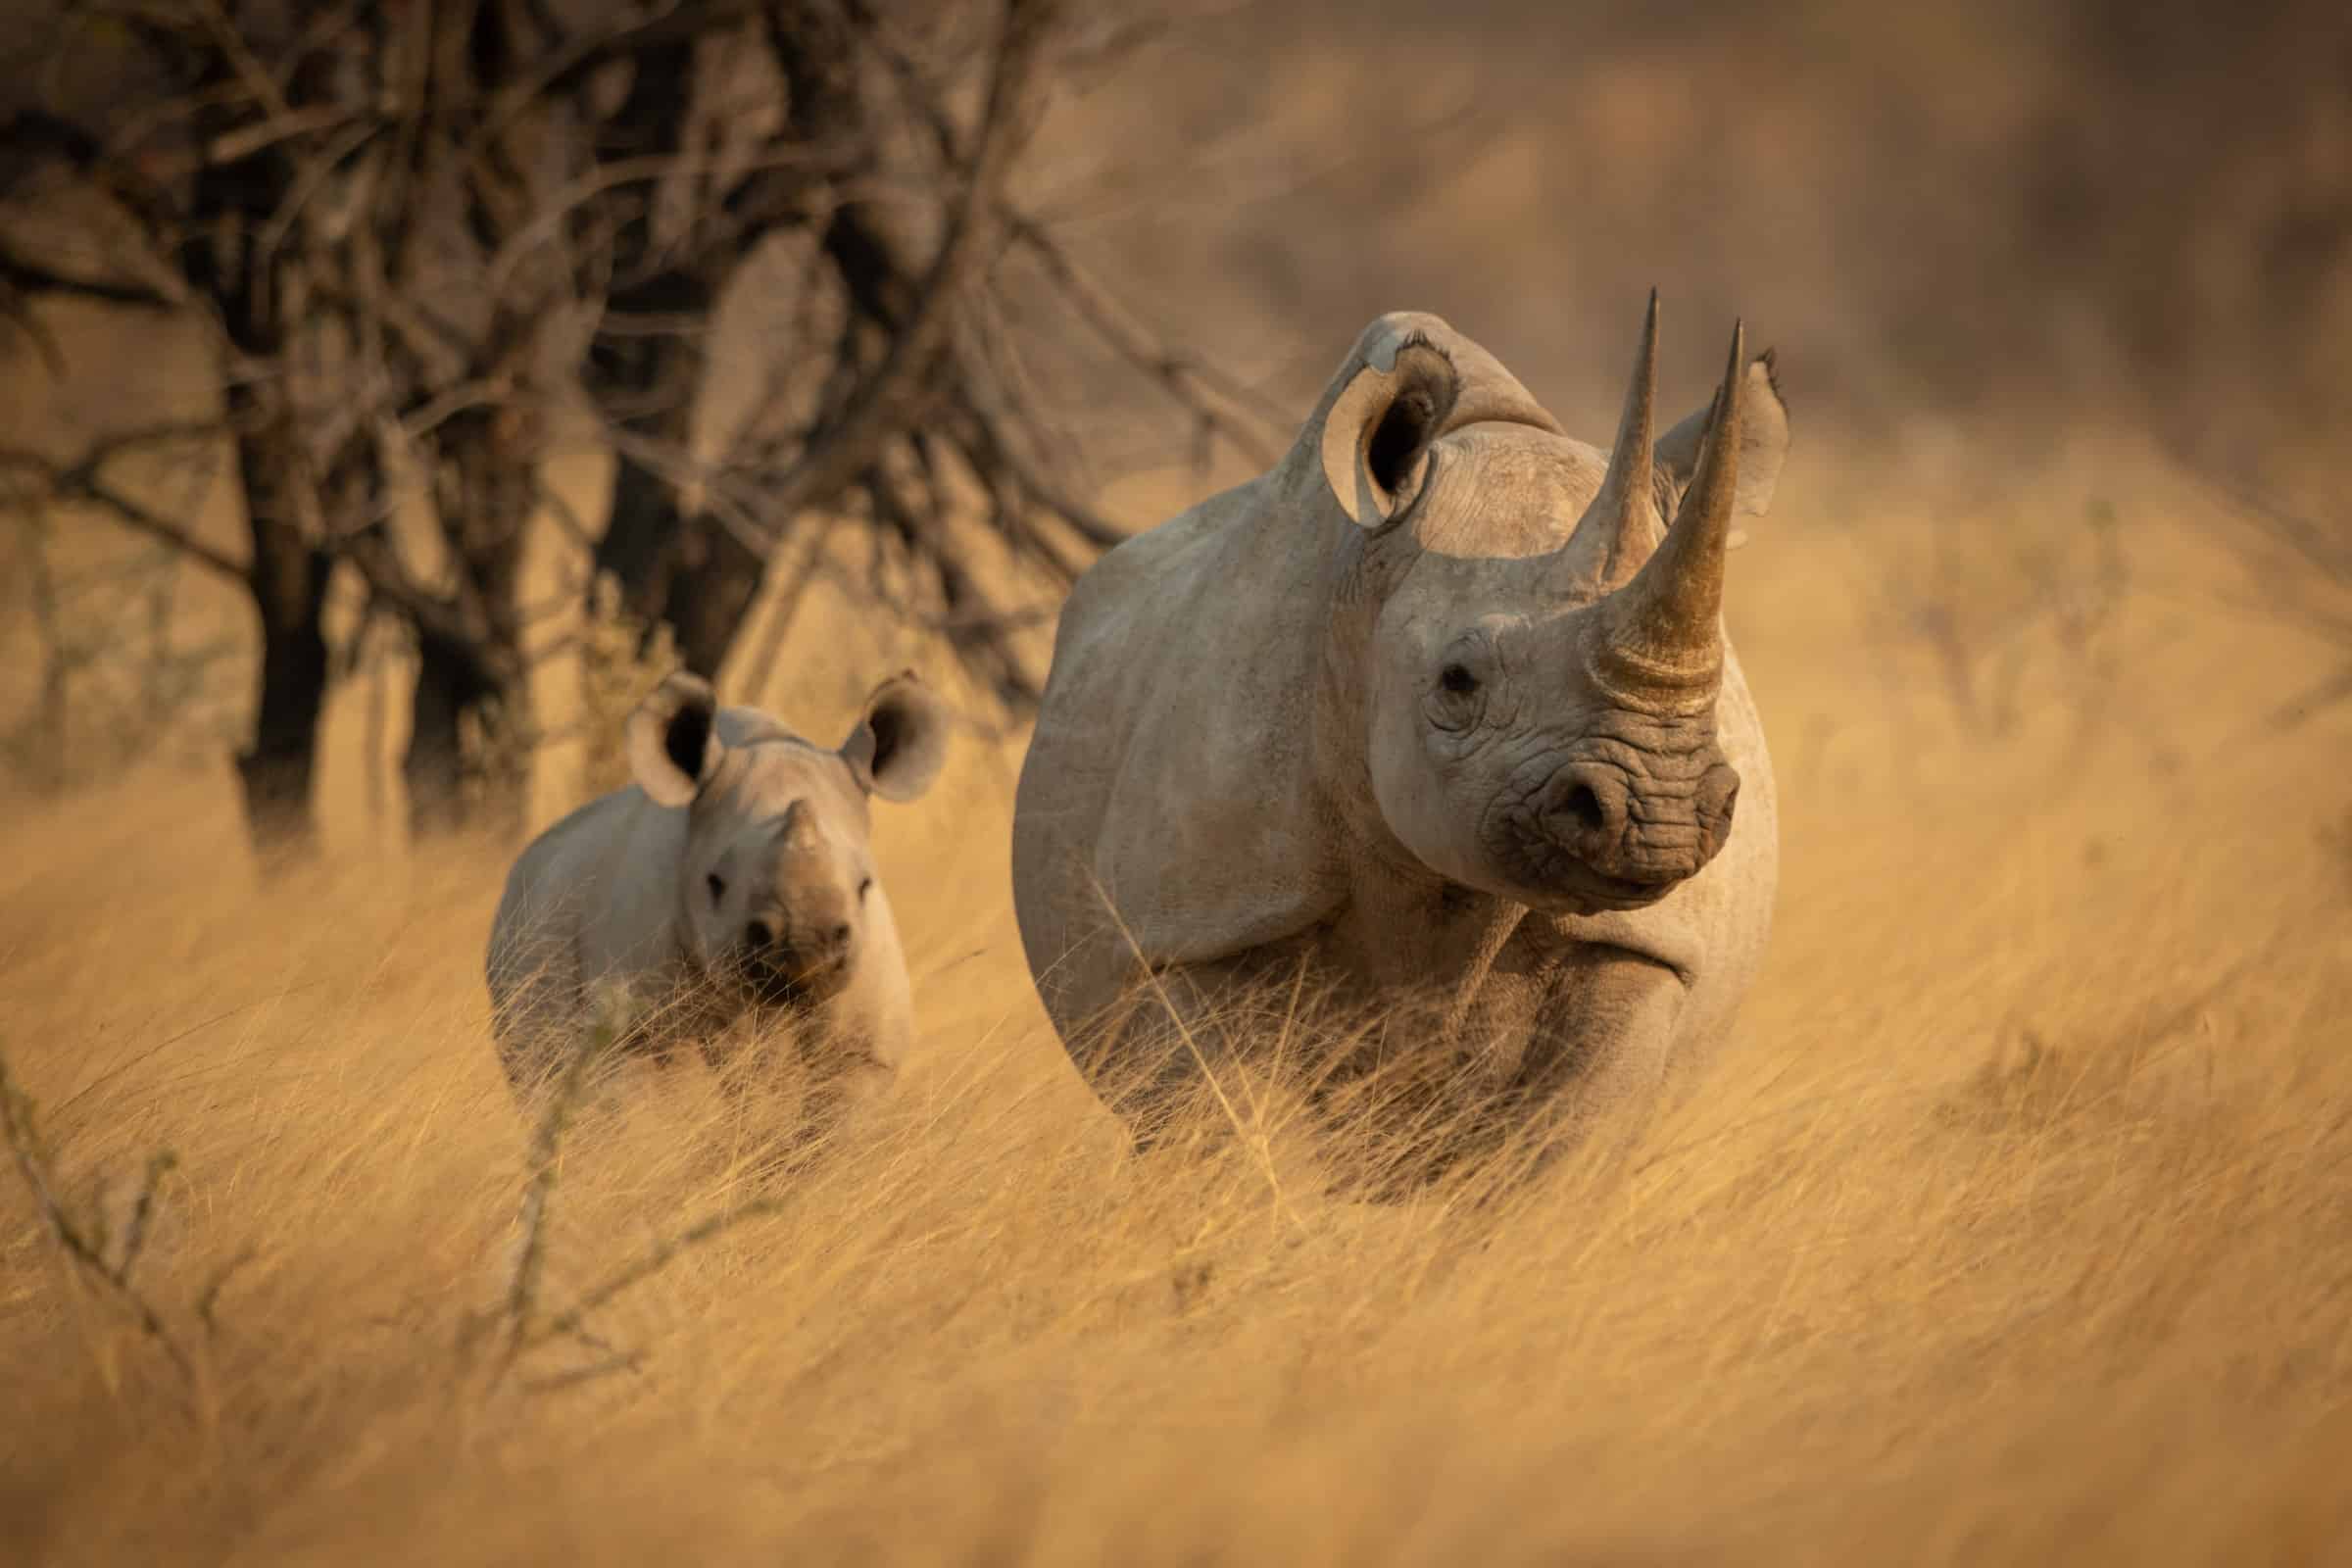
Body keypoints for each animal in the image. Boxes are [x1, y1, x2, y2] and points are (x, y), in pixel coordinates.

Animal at [1010, 296, 1790, 1173]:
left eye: (1717, 686)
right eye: (1457, 682)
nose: (1660, 814)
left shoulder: (1643, 948)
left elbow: (1566, 1148)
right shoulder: (1198, 926)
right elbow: (1228, 1138)